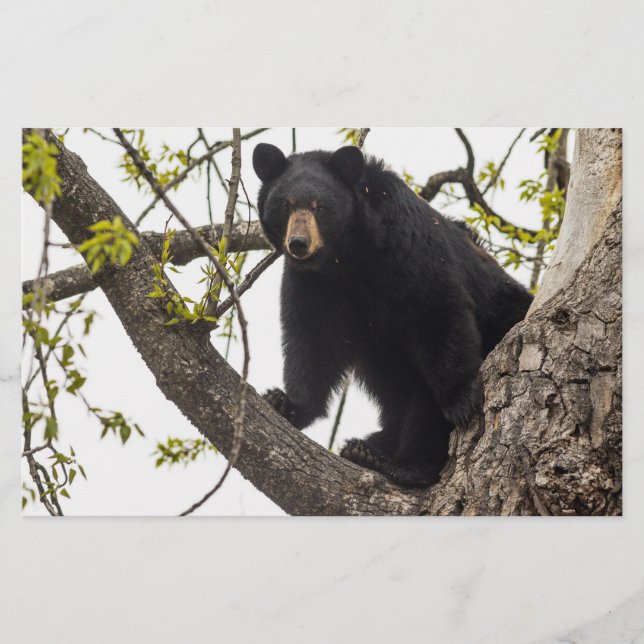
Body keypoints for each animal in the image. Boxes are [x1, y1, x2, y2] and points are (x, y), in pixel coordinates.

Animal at [252, 142, 533, 487]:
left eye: (321, 207)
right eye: (286, 205)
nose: (299, 244)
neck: (348, 259)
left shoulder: (408, 246)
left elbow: (437, 309)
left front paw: (461, 399)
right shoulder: (314, 284)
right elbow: (312, 339)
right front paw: (286, 402)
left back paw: (403, 464)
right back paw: (367, 448)